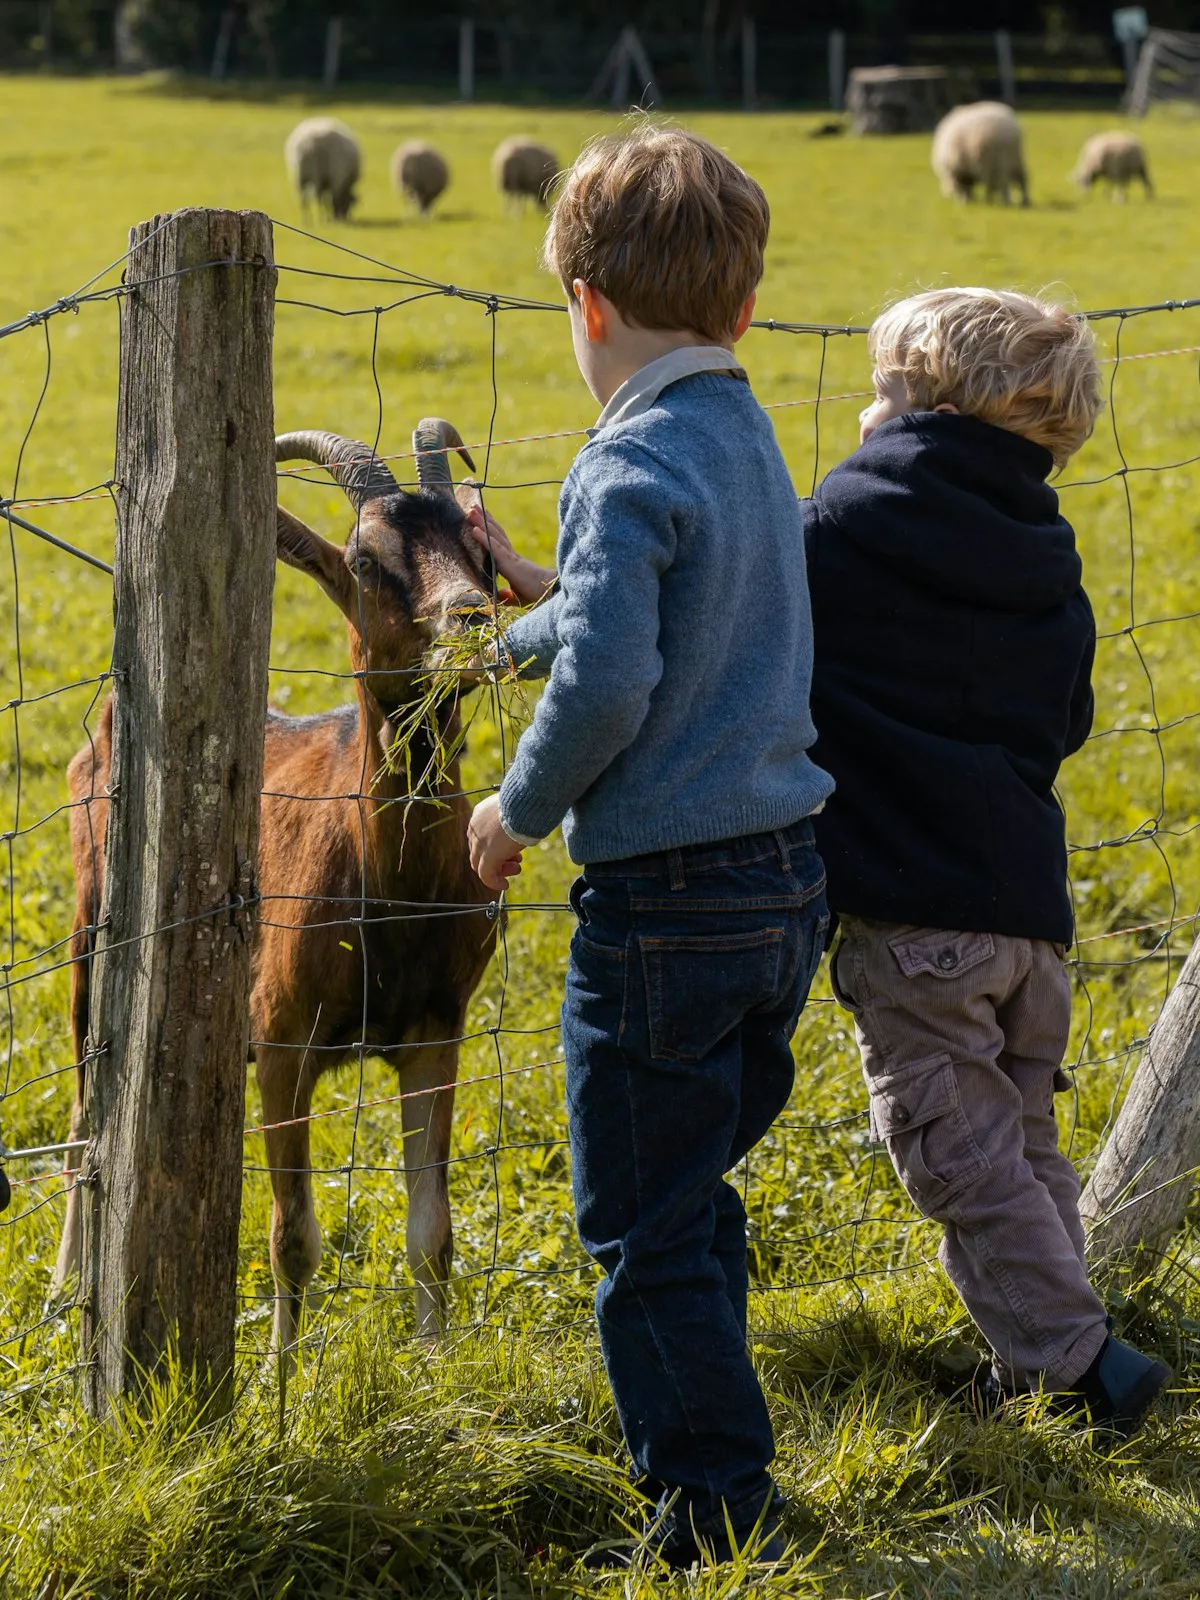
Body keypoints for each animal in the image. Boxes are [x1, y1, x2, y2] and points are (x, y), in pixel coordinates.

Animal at [53, 419, 501, 1368]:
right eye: (366, 560)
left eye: (479, 547)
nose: (473, 621)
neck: (391, 889)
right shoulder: (283, 1038)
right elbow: (291, 1235)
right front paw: (279, 1379)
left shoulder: (436, 1028)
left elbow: (432, 1230)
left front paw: (436, 1367)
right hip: (88, 941)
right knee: (82, 1117)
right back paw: (69, 1285)